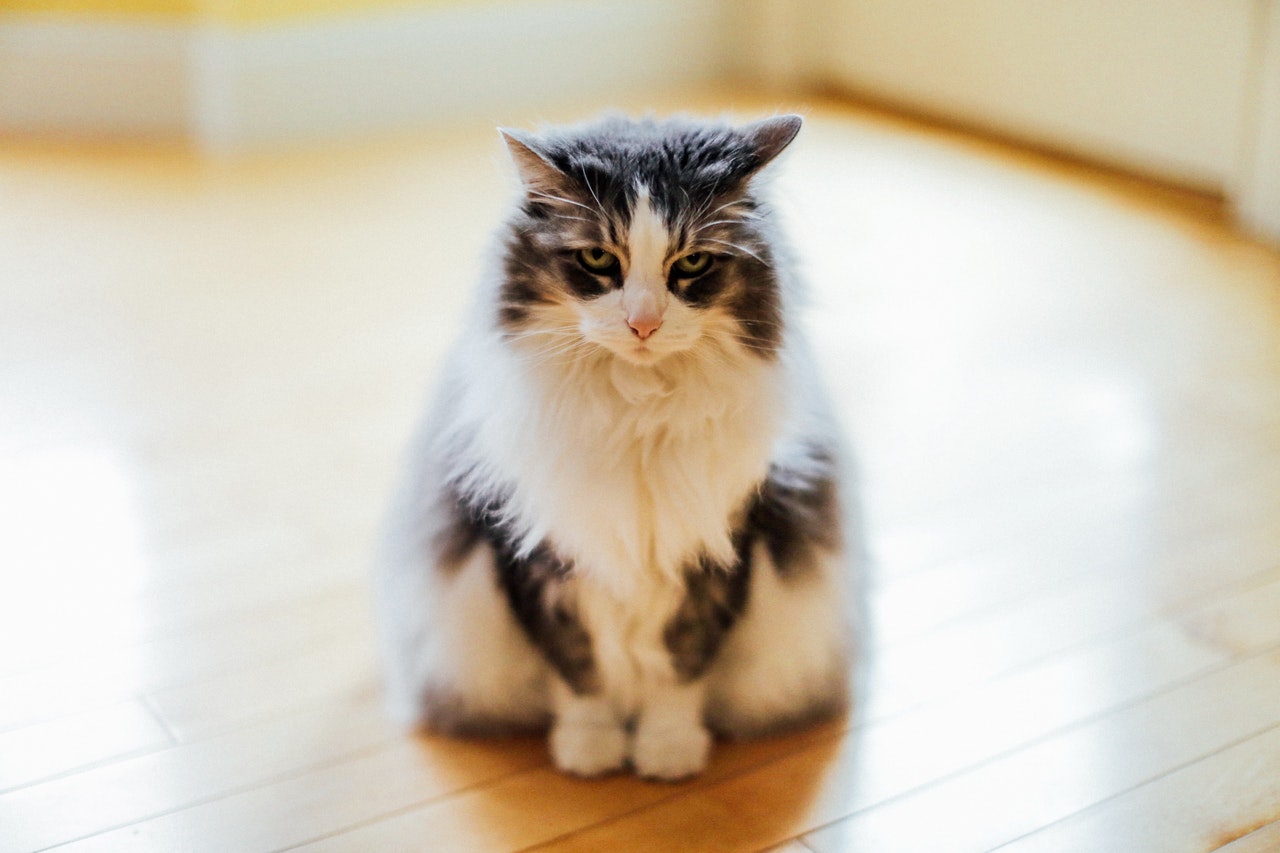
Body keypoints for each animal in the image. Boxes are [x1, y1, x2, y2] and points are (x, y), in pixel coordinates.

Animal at [378, 111, 860, 778]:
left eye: (691, 264)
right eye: (597, 258)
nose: (643, 324)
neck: (637, 415)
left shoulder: (720, 551)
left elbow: (683, 666)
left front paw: (667, 751)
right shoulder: (541, 559)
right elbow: (577, 670)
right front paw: (590, 749)